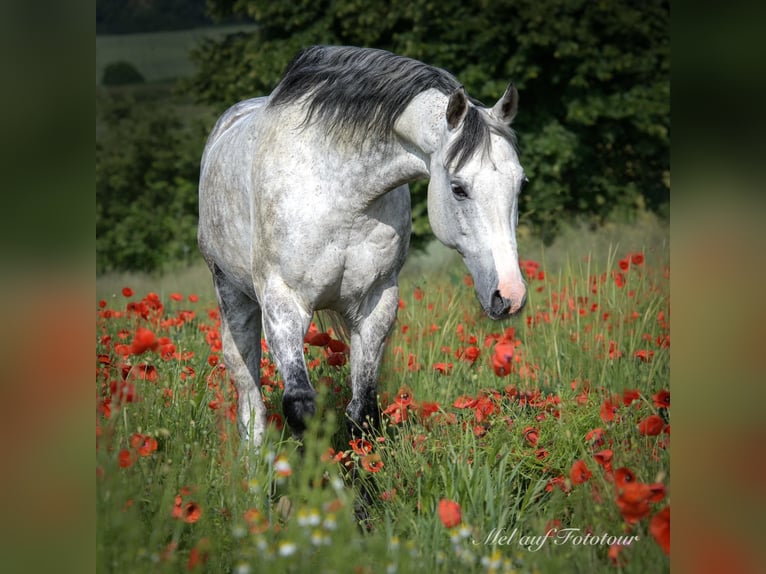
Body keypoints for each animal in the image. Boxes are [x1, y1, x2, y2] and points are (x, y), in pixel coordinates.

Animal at [198, 46, 528, 450]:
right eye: (458, 187)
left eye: (520, 183)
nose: (510, 295)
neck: (341, 189)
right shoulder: (283, 304)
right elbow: (300, 406)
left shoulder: (376, 303)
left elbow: (363, 411)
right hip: (233, 299)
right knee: (251, 406)